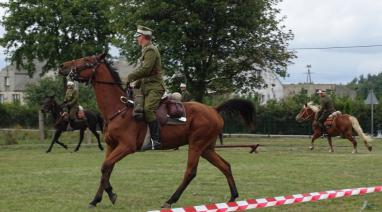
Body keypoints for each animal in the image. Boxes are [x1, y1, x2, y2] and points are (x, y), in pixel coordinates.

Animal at [58, 53, 255, 209]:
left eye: (87, 60)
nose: (62, 66)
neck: (119, 110)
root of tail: (214, 109)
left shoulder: (126, 147)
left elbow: (105, 167)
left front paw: (110, 194)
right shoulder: (111, 146)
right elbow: (106, 169)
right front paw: (98, 199)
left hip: (196, 145)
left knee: (190, 172)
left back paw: (170, 200)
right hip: (206, 148)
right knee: (225, 166)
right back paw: (233, 197)